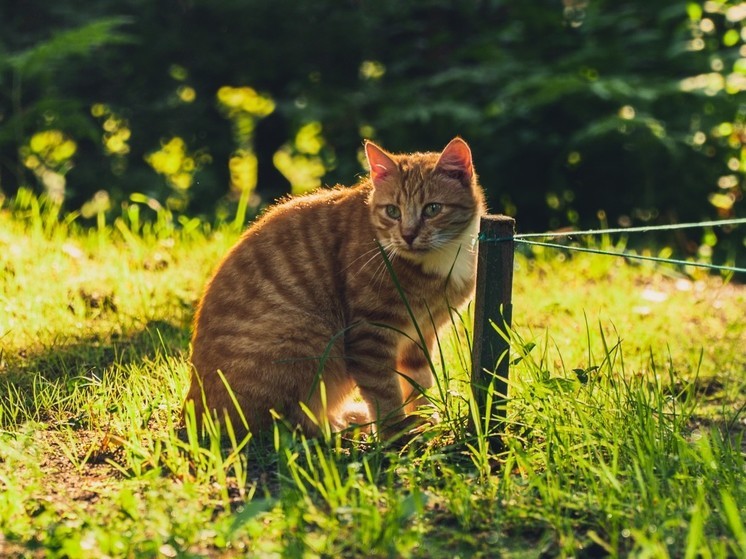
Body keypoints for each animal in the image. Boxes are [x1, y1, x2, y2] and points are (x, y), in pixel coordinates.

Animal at [185, 138, 486, 440]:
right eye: (392, 211)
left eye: (432, 209)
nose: (408, 235)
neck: (439, 262)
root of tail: (194, 416)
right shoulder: (371, 333)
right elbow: (384, 390)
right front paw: (396, 432)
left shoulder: (421, 333)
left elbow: (419, 378)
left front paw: (424, 416)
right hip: (306, 334)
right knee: (290, 425)